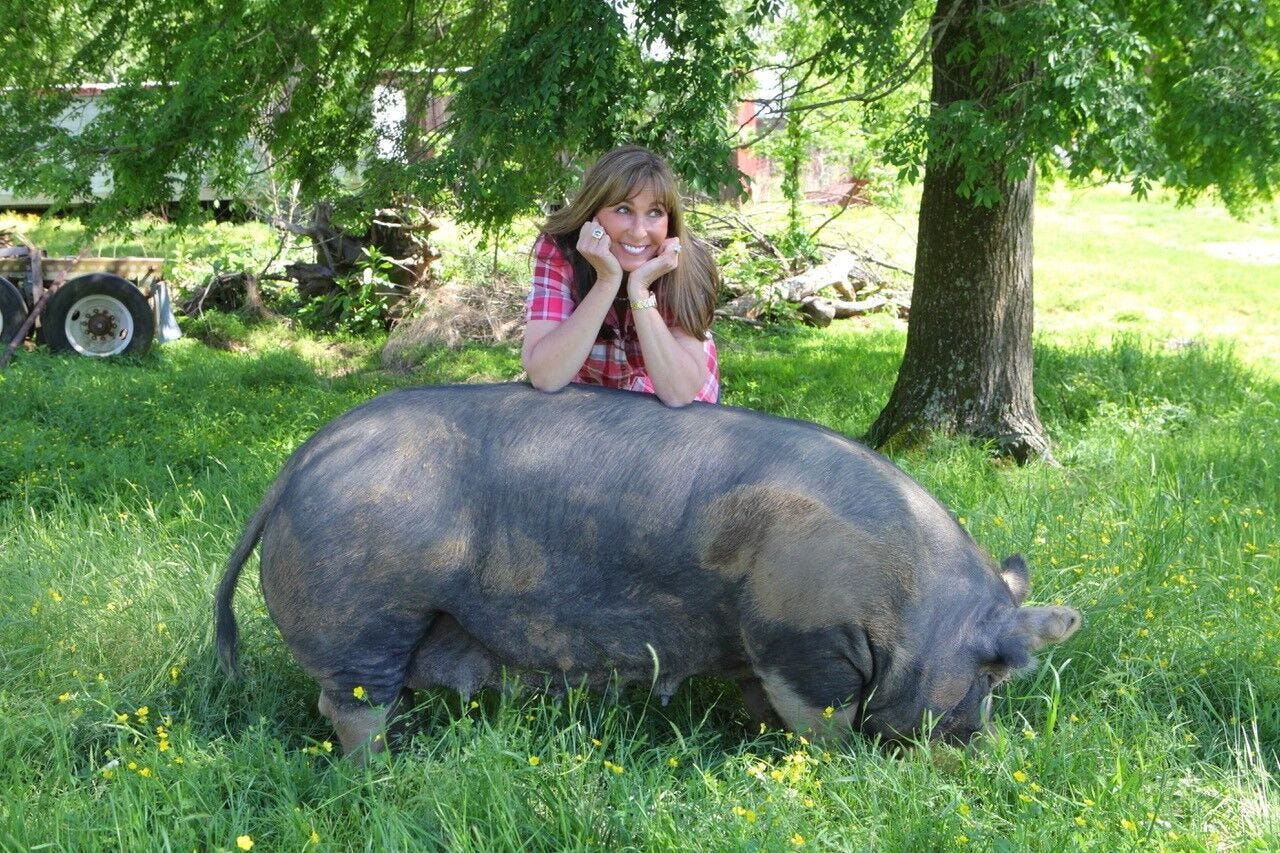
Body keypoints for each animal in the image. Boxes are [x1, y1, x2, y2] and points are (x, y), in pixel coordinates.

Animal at [217, 381, 1080, 753]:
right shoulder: (803, 638)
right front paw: (832, 766)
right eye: (994, 672)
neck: (914, 605)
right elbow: (822, 720)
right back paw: (390, 767)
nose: (981, 746)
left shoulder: (757, 646)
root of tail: (300, 462)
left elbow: (760, 701)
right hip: (364, 607)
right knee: (350, 705)